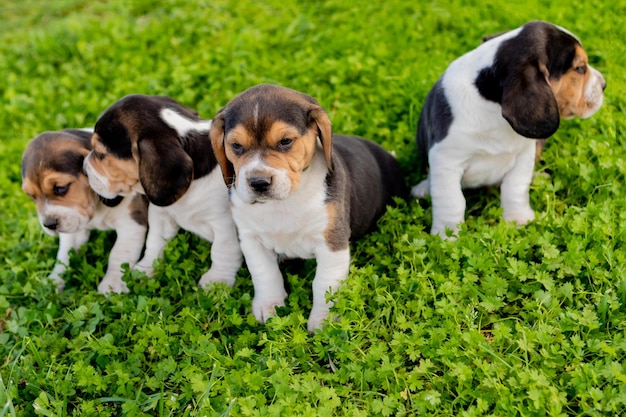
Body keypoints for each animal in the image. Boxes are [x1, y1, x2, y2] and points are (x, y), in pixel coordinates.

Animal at [20, 128, 147, 290]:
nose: (49, 225)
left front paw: (111, 285)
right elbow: (64, 255)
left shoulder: (131, 223)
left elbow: (119, 254)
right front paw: (54, 281)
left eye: (61, 188)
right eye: (32, 196)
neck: (96, 206)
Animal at [81, 95, 241, 288]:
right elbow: (154, 241)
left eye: (100, 153)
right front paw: (145, 269)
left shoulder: (224, 225)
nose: (83, 169)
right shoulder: (161, 215)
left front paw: (217, 280)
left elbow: (222, 250)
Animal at [208, 83, 404, 332]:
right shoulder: (251, 239)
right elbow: (264, 273)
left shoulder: (332, 241)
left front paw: (324, 321)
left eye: (285, 141)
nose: (258, 182)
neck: (283, 203)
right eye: (236, 146)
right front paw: (269, 305)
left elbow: (325, 284)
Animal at [410, 21, 604, 236]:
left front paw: (520, 220)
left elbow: (515, 188)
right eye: (580, 68)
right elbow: (451, 202)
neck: (492, 108)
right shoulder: (446, 161)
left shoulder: (524, 156)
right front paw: (447, 236)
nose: (604, 84)